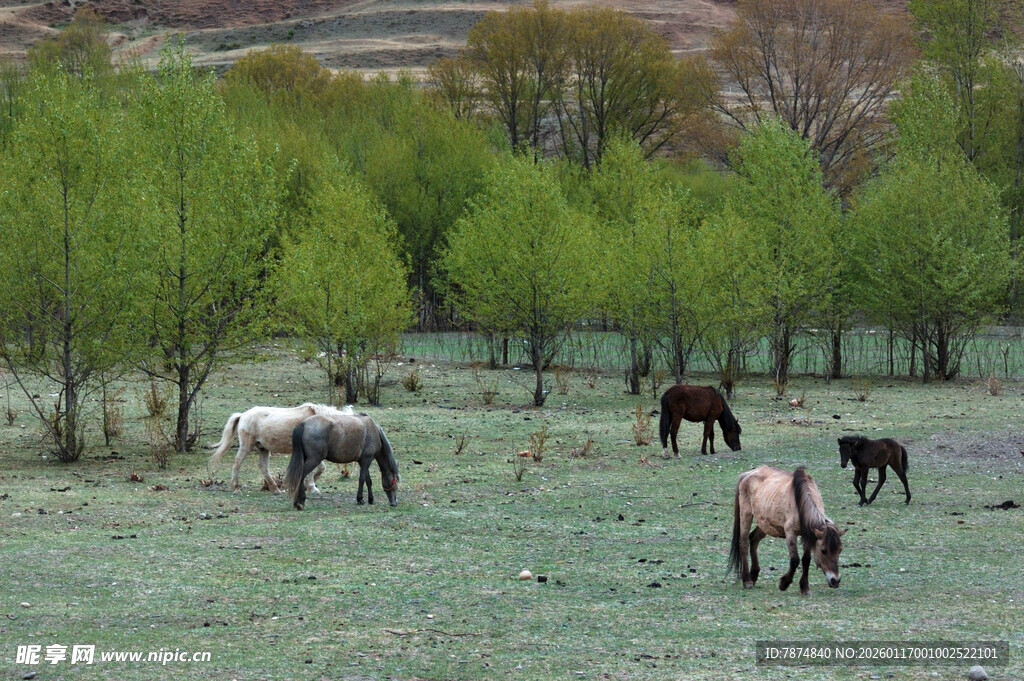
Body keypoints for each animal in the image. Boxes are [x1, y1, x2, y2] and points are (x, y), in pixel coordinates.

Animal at [209, 403, 354, 494]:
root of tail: (243, 415)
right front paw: (312, 487)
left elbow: (319, 468)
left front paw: (309, 486)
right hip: (246, 446)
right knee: (237, 463)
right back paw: (236, 488)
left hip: (263, 448)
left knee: (263, 467)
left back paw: (276, 490)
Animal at [728, 466, 846, 595]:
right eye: (823, 550)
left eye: (840, 550)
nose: (835, 581)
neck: (801, 502)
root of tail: (748, 474)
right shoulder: (790, 532)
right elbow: (795, 560)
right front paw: (784, 583)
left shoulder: (808, 535)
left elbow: (806, 559)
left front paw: (805, 588)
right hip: (746, 515)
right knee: (743, 543)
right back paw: (747, 581)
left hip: (764, 523)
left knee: (753, 539)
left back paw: (753, 575)